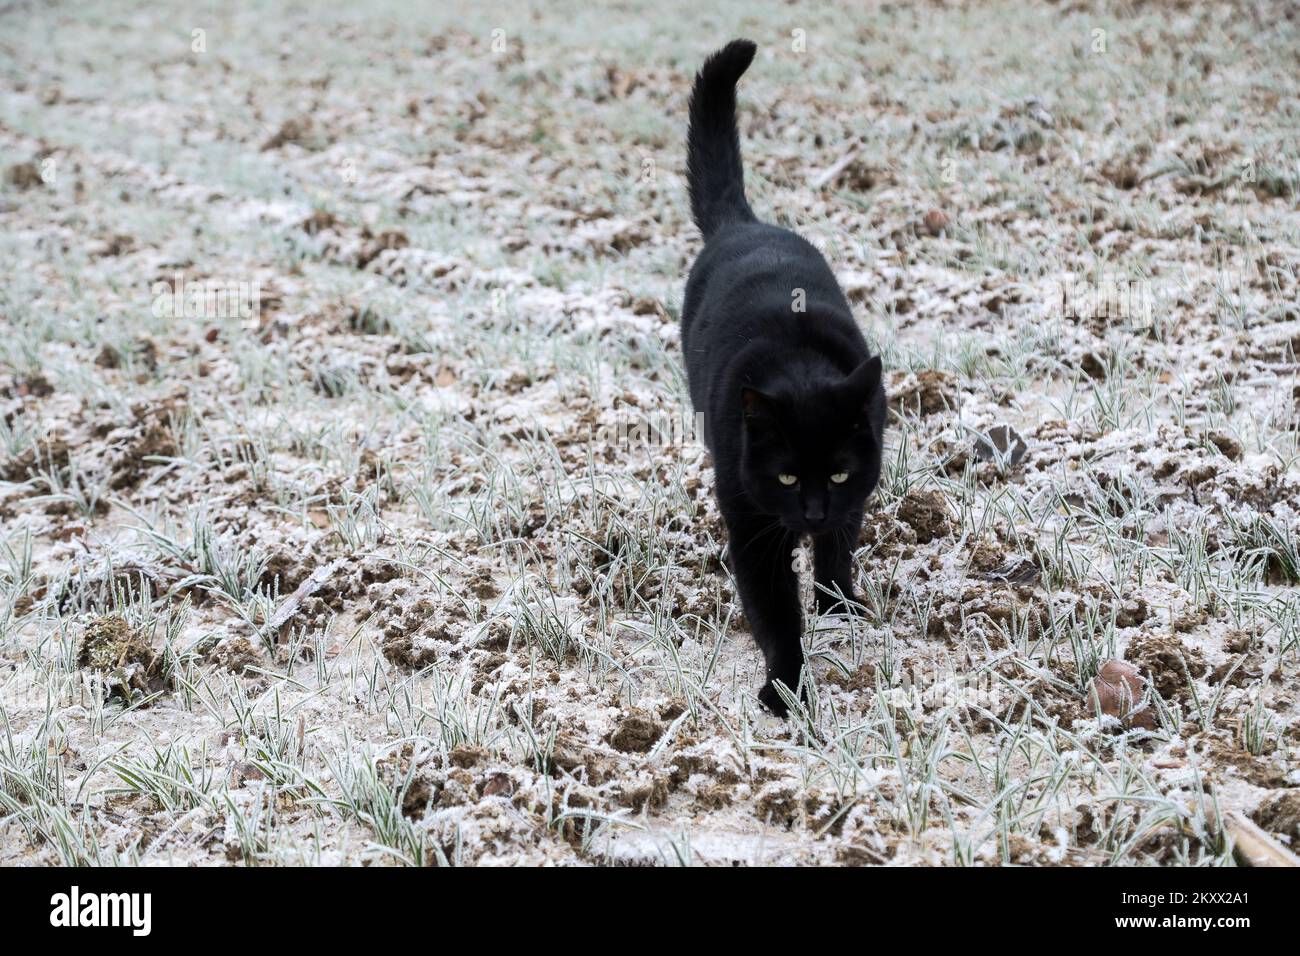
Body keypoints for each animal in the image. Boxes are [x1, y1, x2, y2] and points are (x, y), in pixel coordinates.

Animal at [681, 39, 883, 717]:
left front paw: (839, 610)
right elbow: (774, 613)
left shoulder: (854, 494)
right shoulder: (751, 527)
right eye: (788, 475)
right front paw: (785, 690)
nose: (813, 511)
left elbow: (837, 554)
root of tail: (743, 223)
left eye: (838, 473)